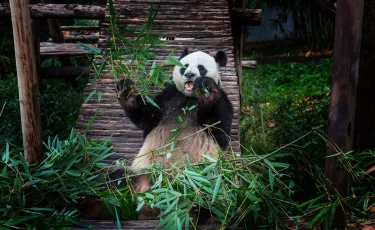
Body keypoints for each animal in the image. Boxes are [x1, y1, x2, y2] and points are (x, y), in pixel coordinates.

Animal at [117, 47, 235, 217]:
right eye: (184, 66)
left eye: (201, 68)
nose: (190, 75)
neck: (190, 97)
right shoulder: (169, 96)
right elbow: (147, 117)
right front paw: (127, 92)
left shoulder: (222, 100)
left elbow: (220, 131)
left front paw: (206, 87)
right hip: (139, 174)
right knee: (116, 180)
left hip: (206, 179)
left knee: (210, 195)